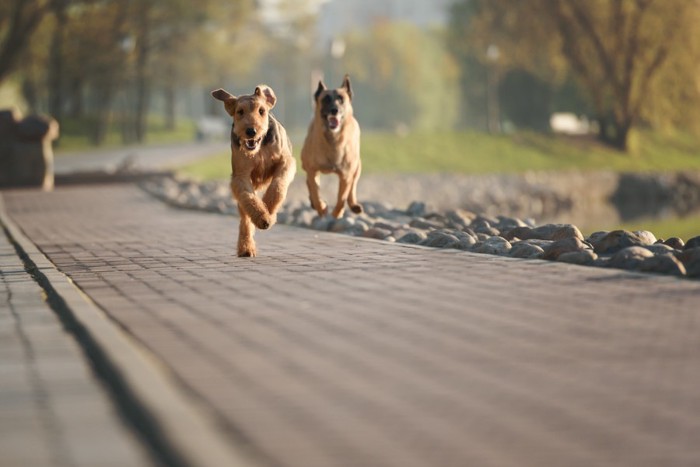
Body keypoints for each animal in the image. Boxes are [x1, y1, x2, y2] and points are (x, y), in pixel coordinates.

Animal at [209, 86, 294, 258]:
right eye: (240, 111)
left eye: (261, 111)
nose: (251, 131)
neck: (259, 149)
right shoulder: (240, 176)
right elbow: (249, 199)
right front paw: (263, 217)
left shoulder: (286, 162)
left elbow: (278, 186)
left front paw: (269, 209)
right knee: (245, 218)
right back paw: (246, 247)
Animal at [300, 74, 364, 218]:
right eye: (326, 99)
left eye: (341, 99)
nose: (334, 110)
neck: (333, 140)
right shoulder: (312, 170)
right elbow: (315, 192)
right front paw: (321, 207)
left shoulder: (346, 174)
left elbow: (342, 197)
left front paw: (337, 213)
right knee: (309, 183)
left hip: (357, 167)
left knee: (353, 186)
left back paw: (354, 205)